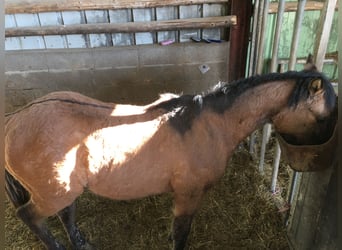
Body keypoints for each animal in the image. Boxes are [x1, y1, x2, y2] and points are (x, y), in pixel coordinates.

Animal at [5, 67, 336, 250]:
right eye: (323, 117)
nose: (319, 163)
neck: (211, 124)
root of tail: (14, 122)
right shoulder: (188, 195)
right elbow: (181, 235)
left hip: (64, 189)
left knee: (66, 214)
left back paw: (81, 243)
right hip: (52, 193)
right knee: (30, 216)